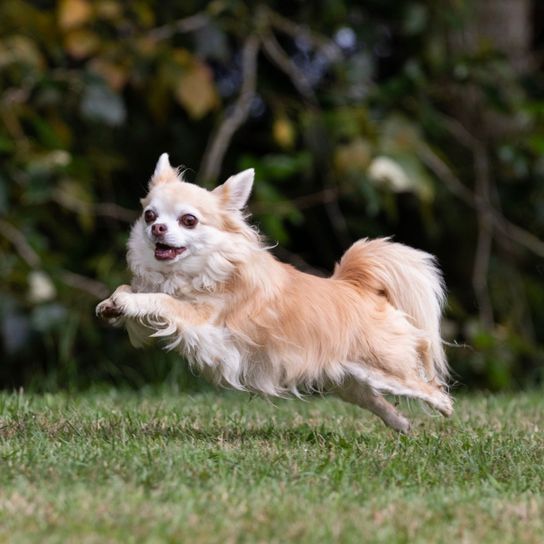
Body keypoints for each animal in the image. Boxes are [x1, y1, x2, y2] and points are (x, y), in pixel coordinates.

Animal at [95, 154, 452, 434]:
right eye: (150, 215)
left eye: (189, 220)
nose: (157, 228)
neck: (193, 270)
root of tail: (356, 286)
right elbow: (135, 296)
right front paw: (112, 303)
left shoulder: (201, 320)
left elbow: (162, 300)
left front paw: (129, 301)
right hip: (350, 379)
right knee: (375, 399)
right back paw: (401, 424)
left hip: (387, 371)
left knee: (428, 387)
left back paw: (445, 409)